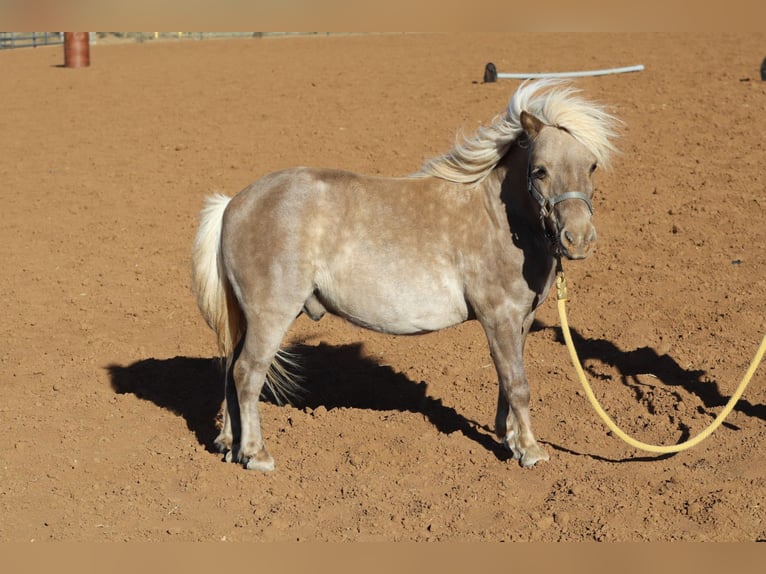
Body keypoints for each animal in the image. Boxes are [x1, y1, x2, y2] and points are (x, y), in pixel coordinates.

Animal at [191, 79, 620, 471]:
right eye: (540, 170)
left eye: (592, 166)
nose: (578, 239)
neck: (500, 218)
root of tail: (232, 204)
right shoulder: (499, 317)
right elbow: (518, 386)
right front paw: (530, 450)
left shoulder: (522, 321)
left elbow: (505, 380)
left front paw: (508, 438)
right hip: (271, 315)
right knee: (247, 373)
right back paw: (255, 454)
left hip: (250, 317)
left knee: (230, 369)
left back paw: (229, 444)